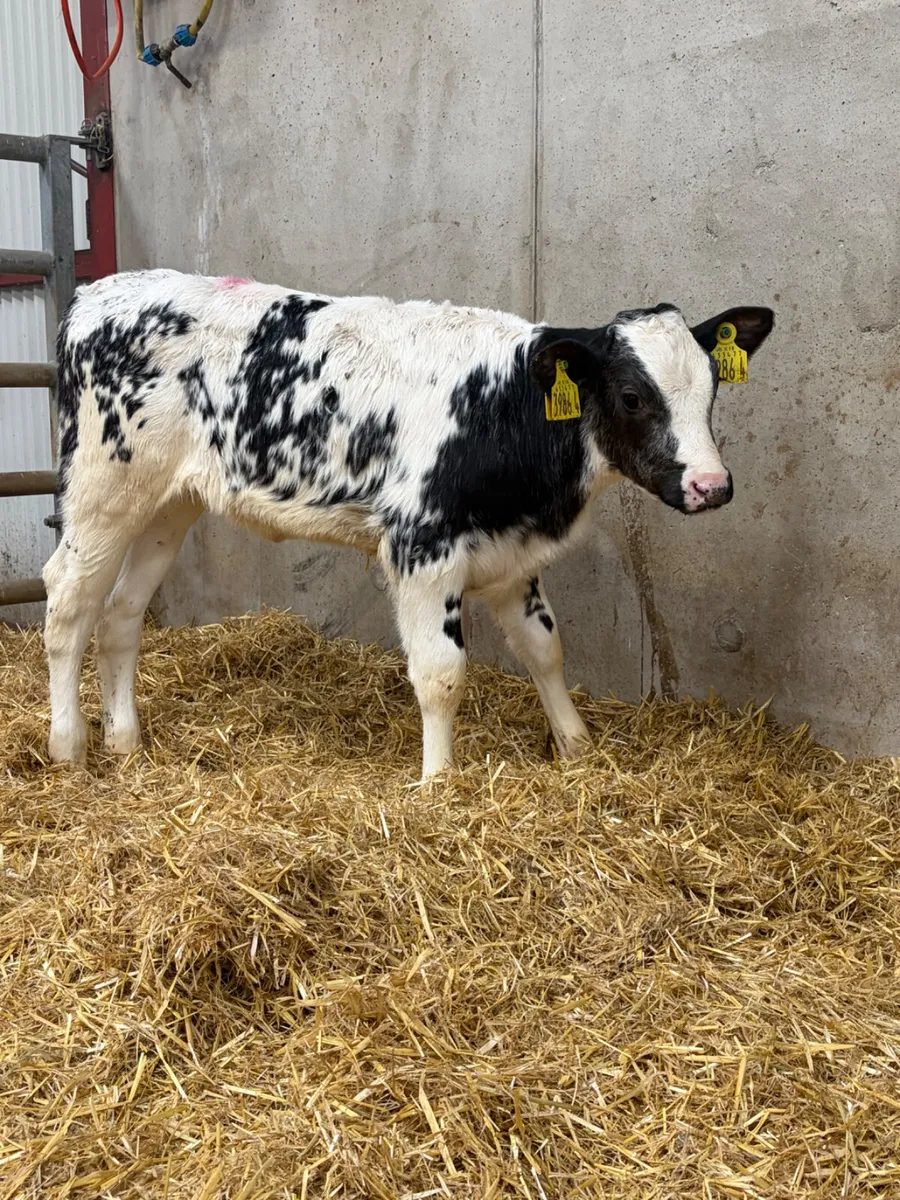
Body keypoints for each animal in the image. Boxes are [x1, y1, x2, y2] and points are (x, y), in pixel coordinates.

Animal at [43, 269, 773, 778]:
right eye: (631, 395)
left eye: (712, 388)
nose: (712, 486)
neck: (506, 406)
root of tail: (98, 293)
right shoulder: (422, 546)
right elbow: (441, 672)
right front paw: (438, 783)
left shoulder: (511, 555)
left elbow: (545, 649)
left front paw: (577, 748)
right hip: (102, 488)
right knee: (68, 603)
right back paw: (68, 747)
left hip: (169, 502)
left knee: (121, 614)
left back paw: (126, 743)